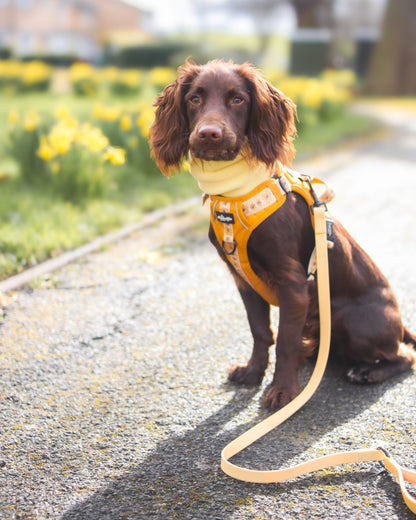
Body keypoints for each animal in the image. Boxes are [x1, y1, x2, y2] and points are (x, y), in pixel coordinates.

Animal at [150, 60, 416, 410]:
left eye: (238, 99)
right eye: (194, 99)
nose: (209, 134)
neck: (235, 195)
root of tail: (399, 322)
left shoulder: (294, 286)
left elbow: (286, 342)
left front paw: (283, 392)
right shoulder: (243, 281)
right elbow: (261, 331)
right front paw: (253, 373)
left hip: (355, 323)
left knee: (404, 355)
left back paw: (366, 372)